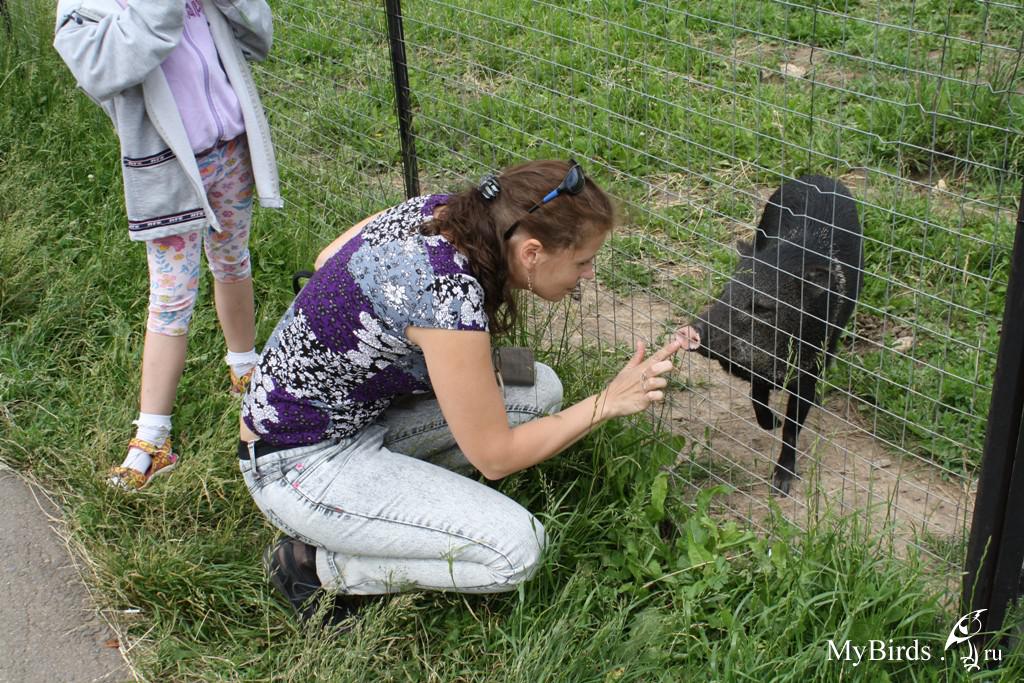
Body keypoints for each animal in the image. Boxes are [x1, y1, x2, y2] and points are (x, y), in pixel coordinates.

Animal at [675, 175, 863, 495]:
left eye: (762, 308)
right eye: (725, 293)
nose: (693, 332)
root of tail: (820, 177)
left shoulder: (806, 370)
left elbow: (792, 428)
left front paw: (781, 483)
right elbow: (756, 395)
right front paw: (769, 423)